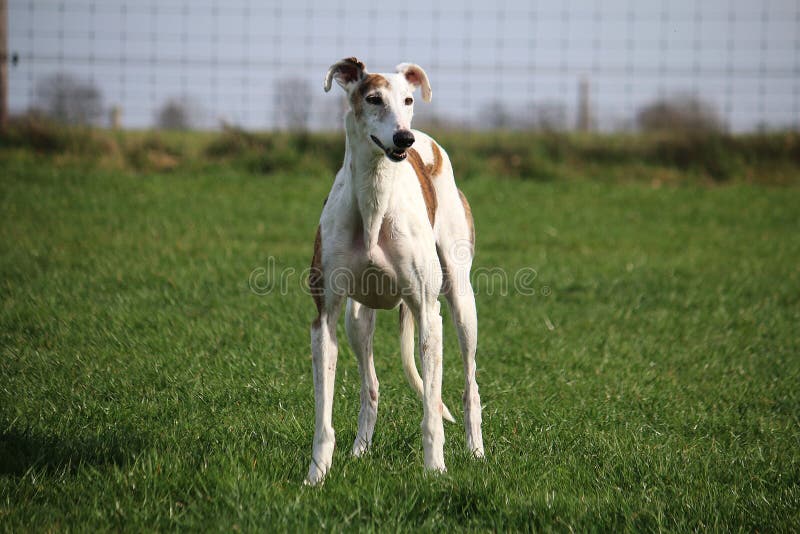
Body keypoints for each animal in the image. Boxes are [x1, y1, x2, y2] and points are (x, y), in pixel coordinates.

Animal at [304, 57, 482, 486]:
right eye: (372, 98)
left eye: (407, 99)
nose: (404, 139)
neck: (374, 199)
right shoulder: (325, 318)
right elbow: (323, 416)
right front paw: (316, 475)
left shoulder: (428, 313)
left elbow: (432, 411)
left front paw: (435, 471)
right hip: (357, 319)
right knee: (370, 387)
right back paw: (360, 451)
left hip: (461, 303)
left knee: (469, 385)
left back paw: (476, 452)